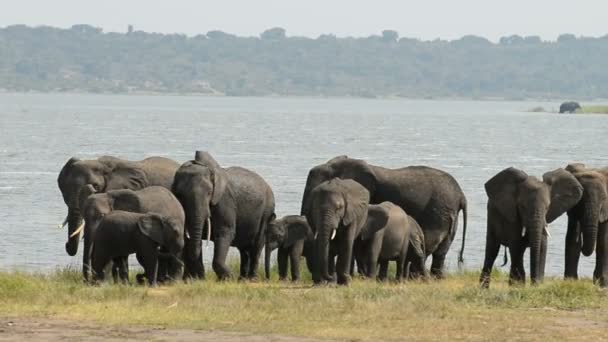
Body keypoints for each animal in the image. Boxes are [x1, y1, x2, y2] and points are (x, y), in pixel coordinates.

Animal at [171, 152, 276, 280]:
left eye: (209, 193)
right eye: (180, 194)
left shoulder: (224, 201)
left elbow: (224, 232)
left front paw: (228, 278)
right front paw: (198, 279)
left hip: (266, 211)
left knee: (256, 245)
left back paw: (251, 279)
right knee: (244, 250)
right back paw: (242, 279)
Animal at [302, 156, 468, 280]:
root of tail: (461, 195)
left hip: (439, 212)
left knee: (428, 245)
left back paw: (415, 277)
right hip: (449, 214)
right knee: (441, 250)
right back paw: (435, 277)